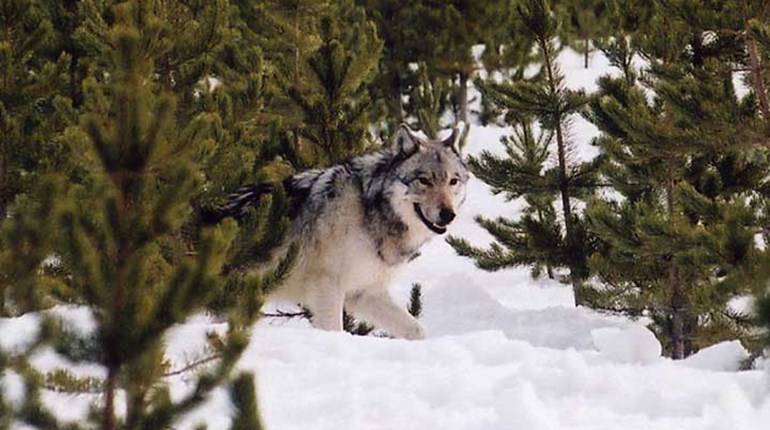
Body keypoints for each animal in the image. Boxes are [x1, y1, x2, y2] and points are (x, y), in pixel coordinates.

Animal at [223, 124, 469, 339]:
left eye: (453, 181)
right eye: (424, 180)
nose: (448, 214)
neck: (369, 212)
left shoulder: (364, 292)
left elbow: (417, 330)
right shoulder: (327, 285)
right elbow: (334, 329)